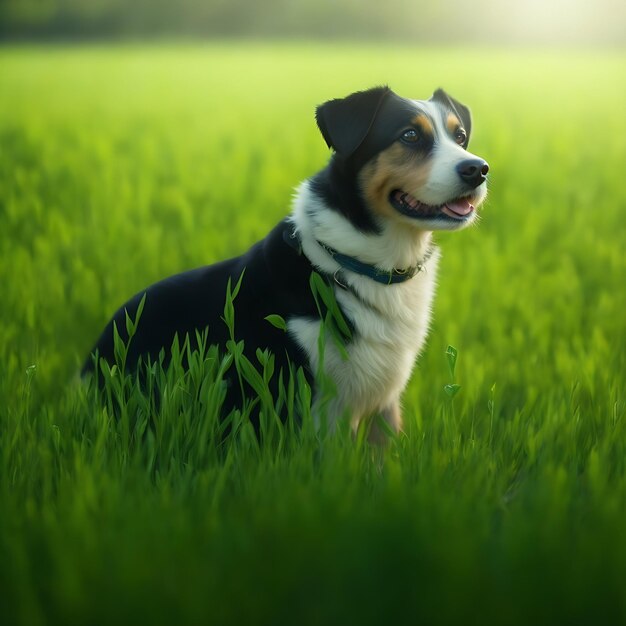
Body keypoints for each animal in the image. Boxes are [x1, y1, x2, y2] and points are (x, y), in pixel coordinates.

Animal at [80, 85, 486, 436]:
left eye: (460, 136)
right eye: (410, 136)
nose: (478, 169)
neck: (362, 264)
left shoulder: (382, 407)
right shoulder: (304, 404)